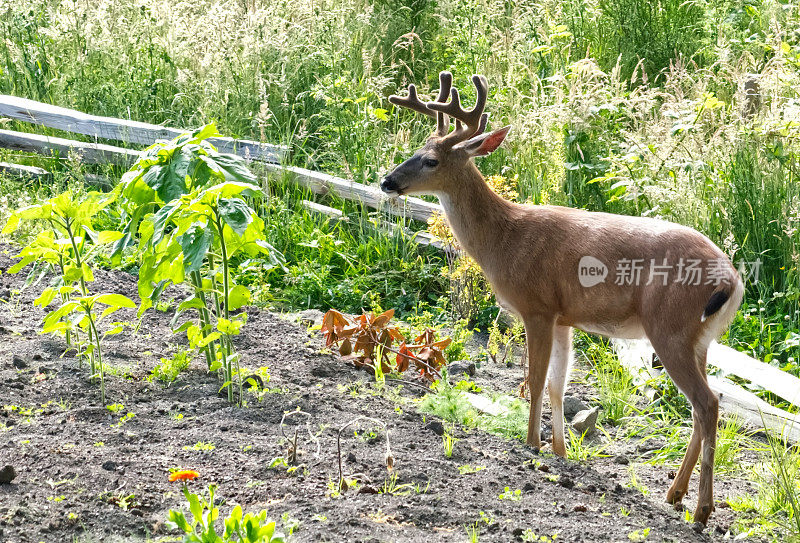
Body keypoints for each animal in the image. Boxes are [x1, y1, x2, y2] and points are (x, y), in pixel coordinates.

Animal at [382, 72, 744, 528]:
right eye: (414, 150)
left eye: (430, 160)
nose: (386, 181)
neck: (504, 239)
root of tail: (731, 279)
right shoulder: (564, 317)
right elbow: (558, 384)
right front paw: (559, 451)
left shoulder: (536, 306)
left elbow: (534, 380)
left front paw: (530, 443)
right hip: (700, 339)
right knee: (702, 405)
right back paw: (674, 494)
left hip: (669, 328)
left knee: (707, 404)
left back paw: (701, 510)